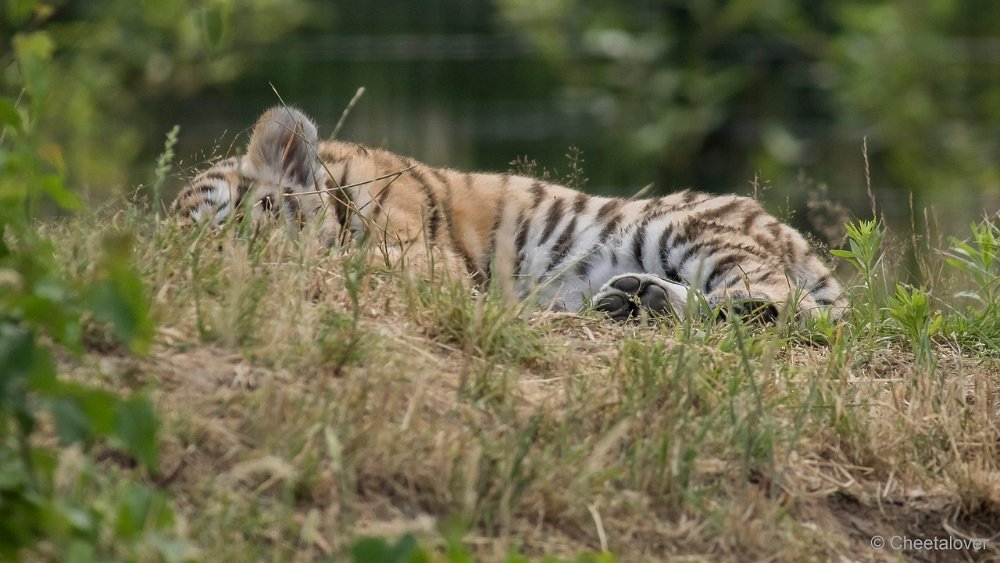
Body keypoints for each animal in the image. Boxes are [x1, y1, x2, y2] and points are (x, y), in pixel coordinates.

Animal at [170, 107, 844, 322]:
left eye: (240, 223)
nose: (225, 272)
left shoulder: (423, 259)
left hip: (676, 229)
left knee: (783, 303)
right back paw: (632, 300)